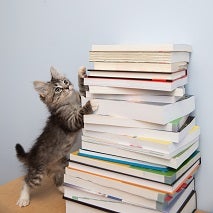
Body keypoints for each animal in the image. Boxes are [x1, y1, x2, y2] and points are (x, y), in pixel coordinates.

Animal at [15, 66, 97, 206]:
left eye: (65, 81)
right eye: (58, 89)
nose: (67, 87)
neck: (70, 103)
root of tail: (30, 155)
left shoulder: (80, 99)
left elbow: (83, 90)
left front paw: (81, 74)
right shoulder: (70, 122)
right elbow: (81, 114)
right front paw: (92, 104)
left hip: (62, 166)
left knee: (57, 182)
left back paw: (64, 189)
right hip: (37, 172)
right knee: (26, 181)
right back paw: (23, 198)